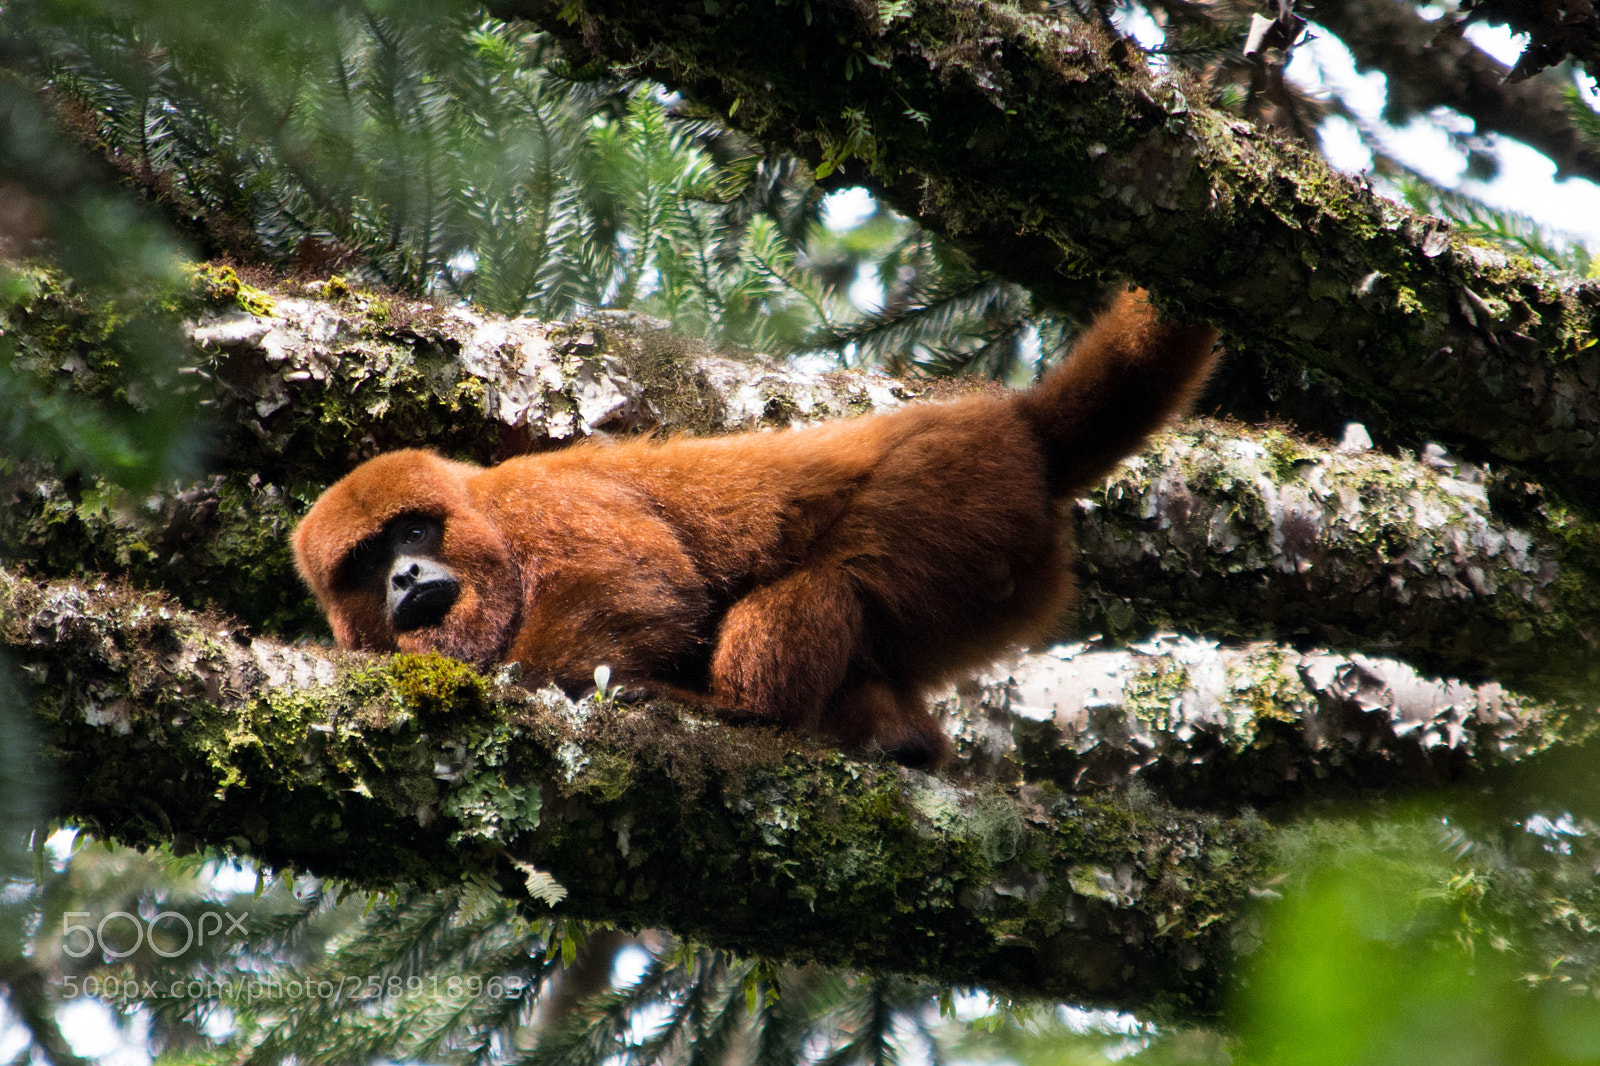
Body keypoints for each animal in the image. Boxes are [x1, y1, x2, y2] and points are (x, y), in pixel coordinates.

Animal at [292, 290, 1218, 767]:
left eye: (412, 534)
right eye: (367, 562)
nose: (405, 578)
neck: (482, 518)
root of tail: (1016, 426)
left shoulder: (537, 504)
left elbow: (639, 585)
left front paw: (528, 677)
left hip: (953, 498)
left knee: (834, 573)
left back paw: (744, 713)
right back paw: (899, 742)